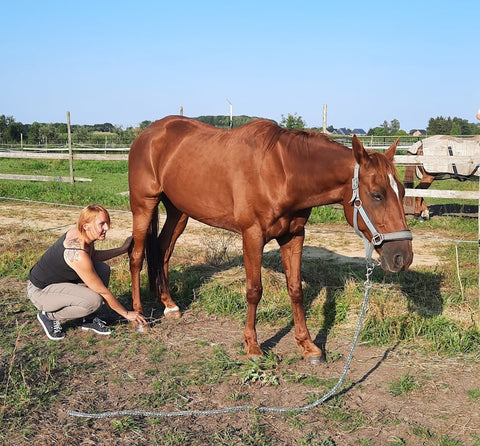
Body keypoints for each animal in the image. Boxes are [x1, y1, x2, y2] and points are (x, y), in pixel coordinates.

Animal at [128, 115, 412, 362]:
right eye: (376, 194)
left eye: (402, 190)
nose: (403, 257)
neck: (282, 172)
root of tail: (147, 134)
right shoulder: (252, 236)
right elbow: (254, 290)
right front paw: (253, 346)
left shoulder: (294, 235)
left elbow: (295, 289)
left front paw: (308, 346)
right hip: (144, 205)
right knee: (137, 256)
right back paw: (139, 318)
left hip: (179, 211)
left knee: (162, 250)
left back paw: (169, 305)